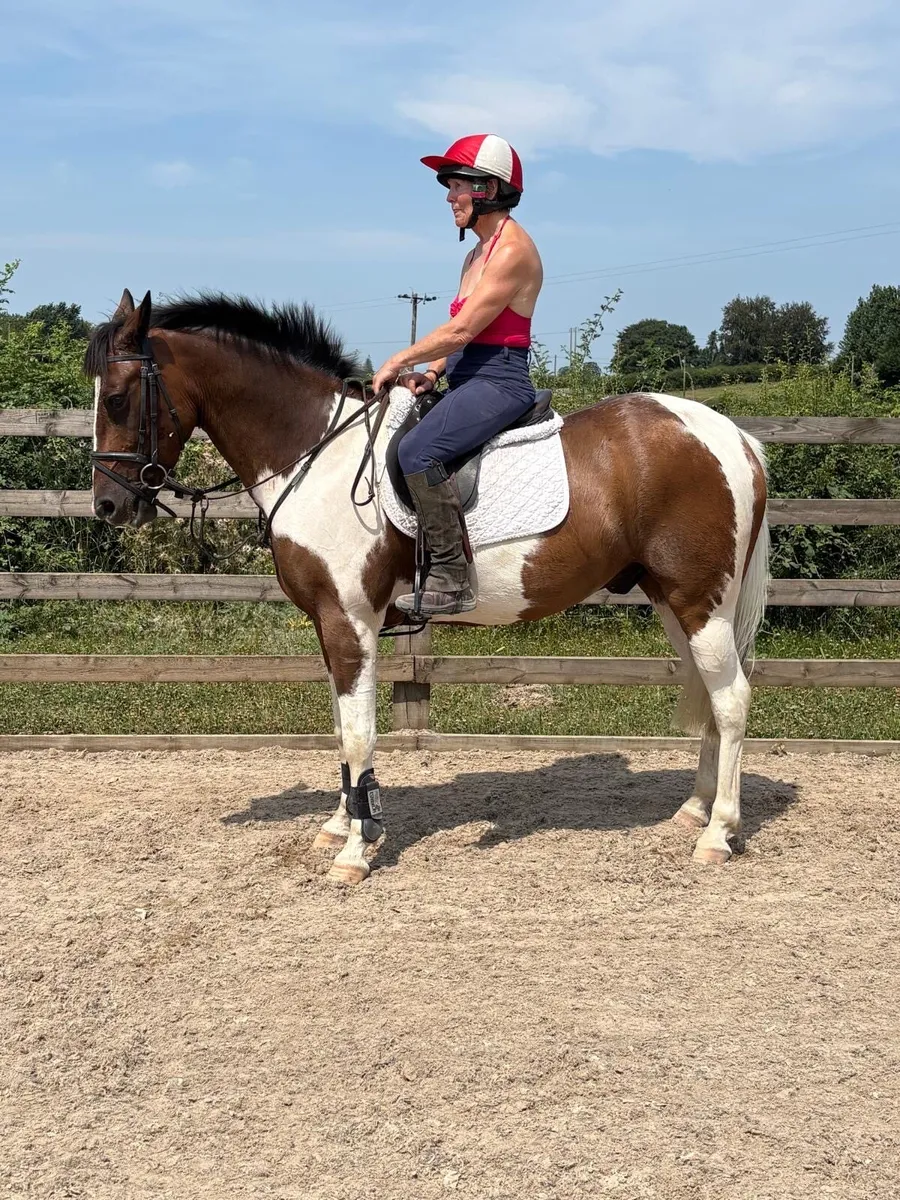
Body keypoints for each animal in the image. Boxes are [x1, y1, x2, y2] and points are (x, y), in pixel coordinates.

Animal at [88, 288, 769, 884]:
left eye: (118, 399)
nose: (108, 507)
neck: (315, 455)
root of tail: (734, 437)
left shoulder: (350, 623)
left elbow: (359, 733)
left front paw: (357, 851)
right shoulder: (330, 626)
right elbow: (342, 729)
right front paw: (340, 825)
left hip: (700, 602)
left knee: (732, 700)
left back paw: (718, 833)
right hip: (677, 601)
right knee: (710, 696)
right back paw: (693, 811)